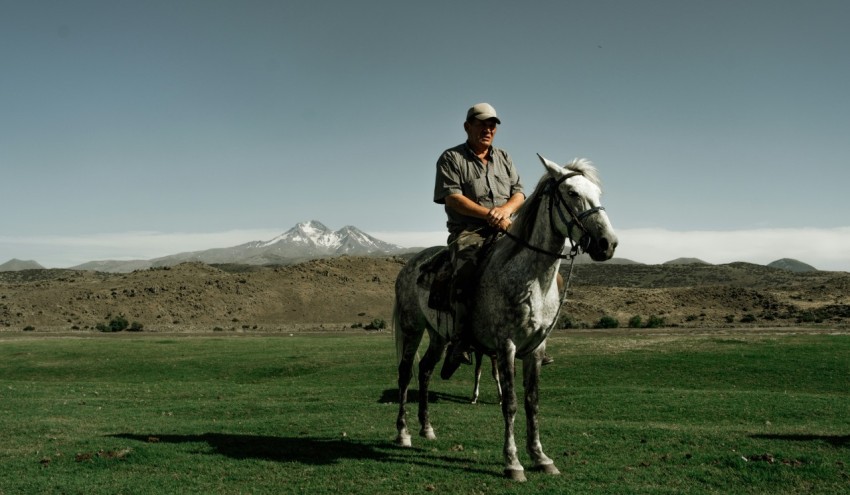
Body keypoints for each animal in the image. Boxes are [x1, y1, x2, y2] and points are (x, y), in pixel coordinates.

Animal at [393, 154, 618, 481]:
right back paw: (403, 433)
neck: (530, 278)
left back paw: (427, 428)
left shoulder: (536, 349)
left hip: (438, 336)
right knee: (405, 373)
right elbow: (510, 404)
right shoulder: (506, 346)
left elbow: (532, 402)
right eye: (572, 193)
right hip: (412, 327)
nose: (607, 244)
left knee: (424, 371)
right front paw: (513, 462)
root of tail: (410, 265)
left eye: (598, 194)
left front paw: (541, 457)